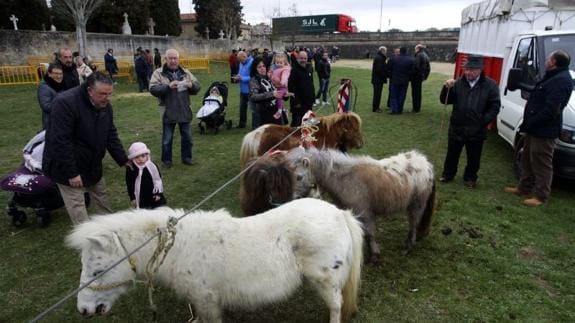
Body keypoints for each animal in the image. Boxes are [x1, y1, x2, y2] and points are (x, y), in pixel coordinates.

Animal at [68, 199, 364, 322]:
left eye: (97, 271)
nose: (83, 310)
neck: (178, 248)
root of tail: (340, 213)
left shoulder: (206, 299)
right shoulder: (201, 300)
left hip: (325, 279)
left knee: (336, 306)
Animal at [288, 148, 436, 264]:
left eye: (299, 177)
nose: (293, 198)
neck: (344, 178)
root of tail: (425, 164)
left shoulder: (364, 212)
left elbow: (369, 233)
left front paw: (374, 256)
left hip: (416, 205)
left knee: (413, 225)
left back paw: (408, 247)